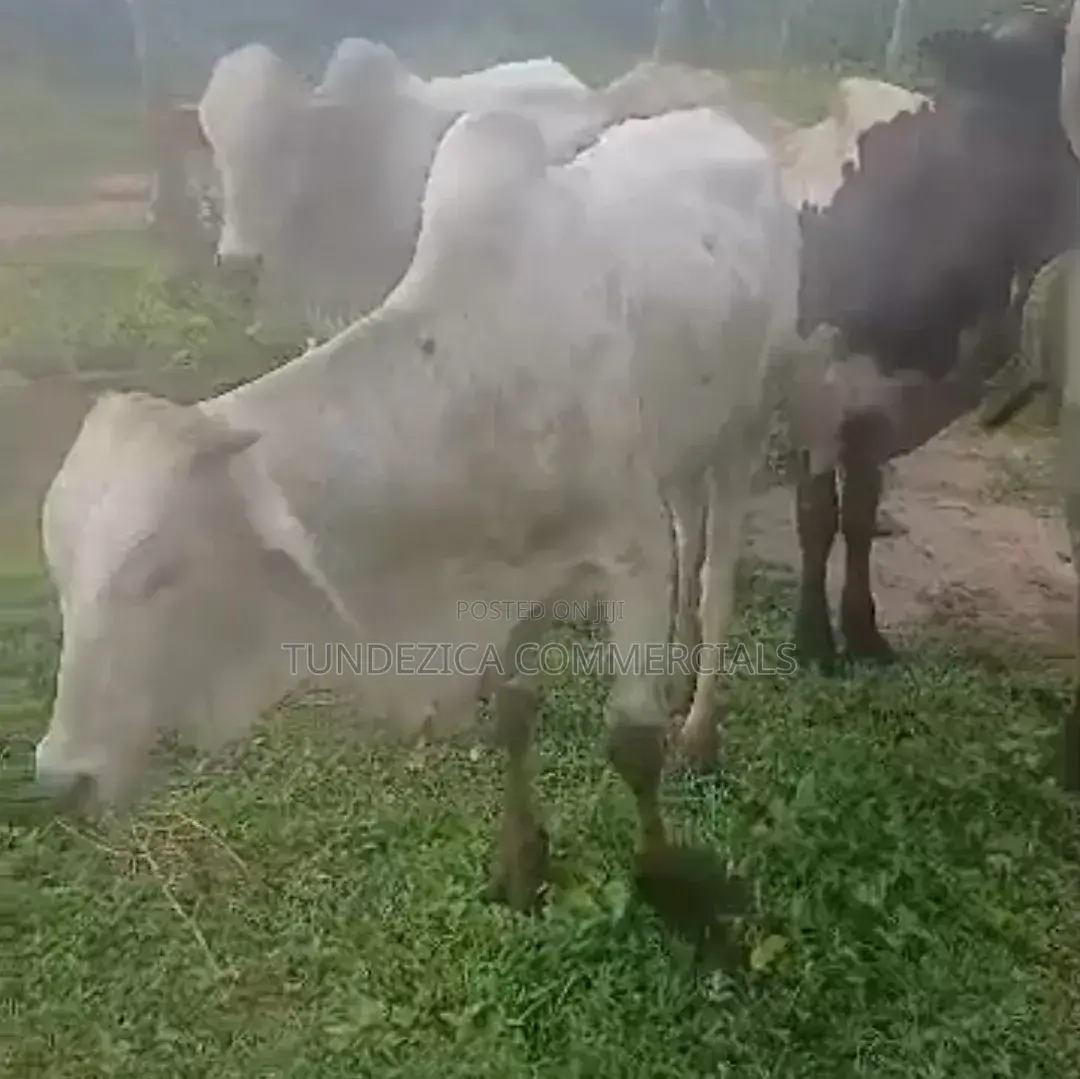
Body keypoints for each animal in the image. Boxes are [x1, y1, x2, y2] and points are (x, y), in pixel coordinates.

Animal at [33, 106, 800, 938]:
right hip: (689, 442)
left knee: (715, 578)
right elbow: (514, 714)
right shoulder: (510, 577)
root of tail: (726, 124)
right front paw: (520, 862)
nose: (61, 777)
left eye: (161, 572)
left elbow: (632, 741)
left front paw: (663, 879)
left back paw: (699, 723)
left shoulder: (630, 548)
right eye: (60, 570)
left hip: (748, 425)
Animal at [790, 10, 1079, 703]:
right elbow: (818, 519)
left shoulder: (881, 408)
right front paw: (813, 640)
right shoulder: (819, 396)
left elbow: (859, 520)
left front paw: (864, 634)